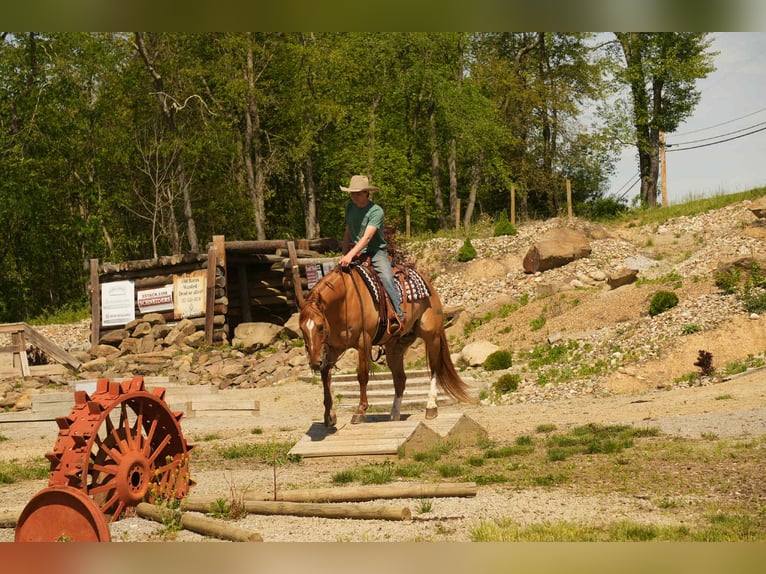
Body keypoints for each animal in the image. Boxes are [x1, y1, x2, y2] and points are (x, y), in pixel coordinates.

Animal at [298, 263, 474, 427]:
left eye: (320, 326)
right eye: (301, 328)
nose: (314, 363)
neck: (345, 300)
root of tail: (428, 284)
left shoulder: (363, 341)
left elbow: (362, 375)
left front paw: (360, 411)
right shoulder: (333, 349)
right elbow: (325, 377)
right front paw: (329, 416)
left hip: (432, 336)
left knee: (434, 369)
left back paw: (431, 407)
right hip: (395, 346)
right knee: (400, 378)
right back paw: (394, 414)